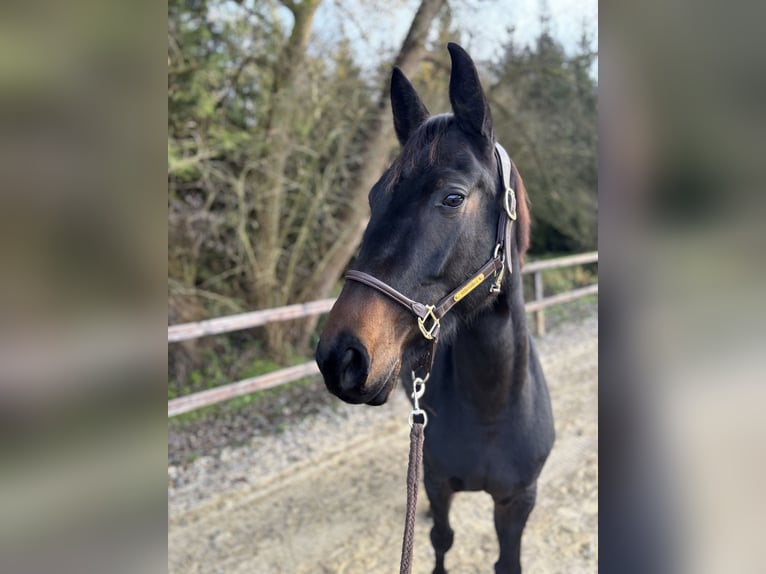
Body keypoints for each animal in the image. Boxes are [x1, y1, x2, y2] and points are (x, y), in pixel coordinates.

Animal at [316, 42, 556, 572]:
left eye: (453, 197)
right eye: (374, 197)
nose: (340, 356)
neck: (491, 408)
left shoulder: (519, 502)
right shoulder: (440, 485)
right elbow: (441, 540)